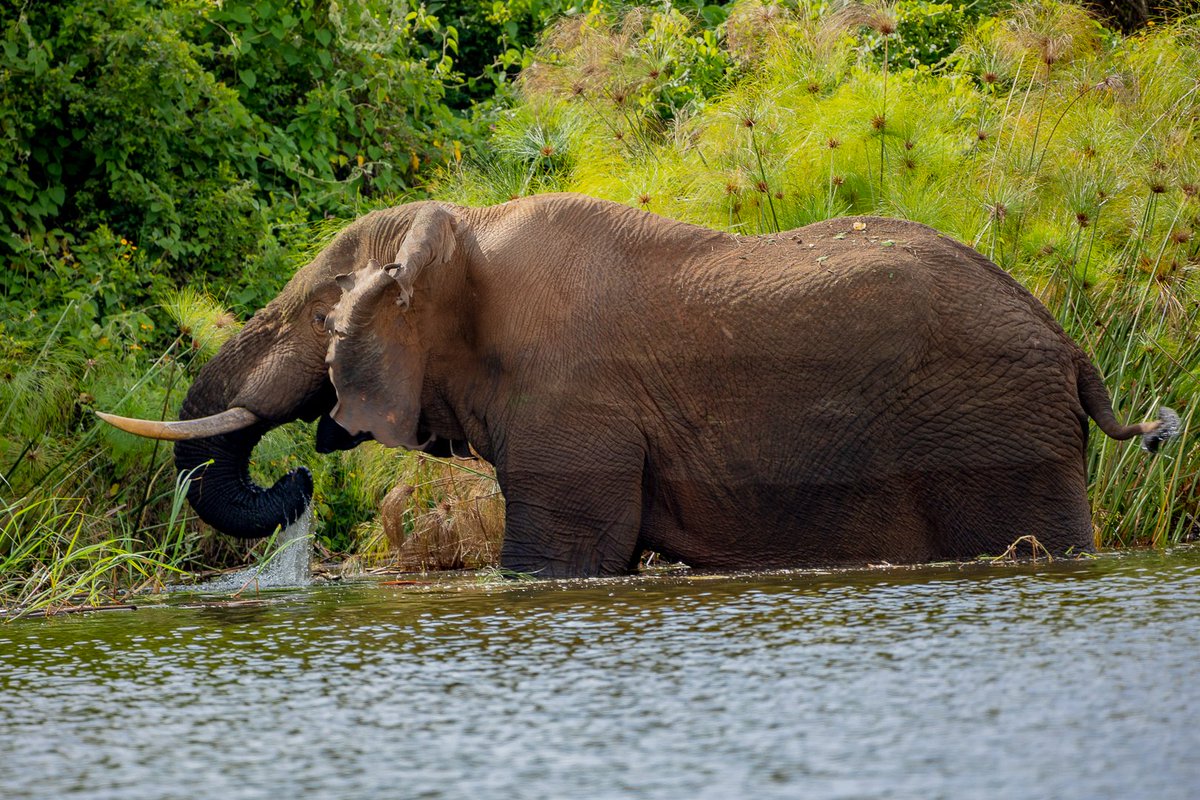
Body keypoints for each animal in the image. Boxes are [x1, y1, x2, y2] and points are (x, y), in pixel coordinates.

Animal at [100, 193, 1178, 578]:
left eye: (318, 319)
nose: (295, 486)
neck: (464, 231)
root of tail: (1072, 349)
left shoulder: (574, 409)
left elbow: (557, 560)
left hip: (1001, 437)